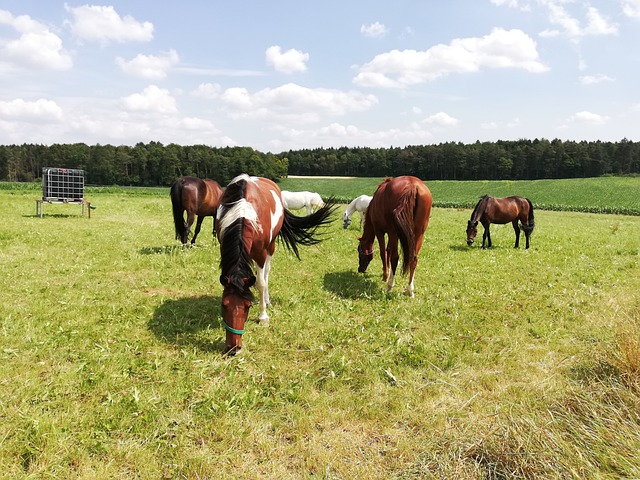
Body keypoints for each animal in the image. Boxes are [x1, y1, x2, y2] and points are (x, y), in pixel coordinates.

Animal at [216, 174, 336, 354]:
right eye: (224, 305)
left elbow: (261, 283)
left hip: (270, 247)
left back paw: (266, 300)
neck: (242, 210)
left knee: (266, 273)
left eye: (247, 306)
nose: (234, 348)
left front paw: (263, 315)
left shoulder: (261, 253)